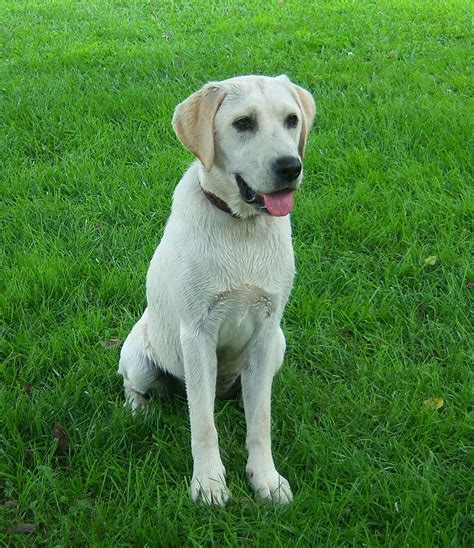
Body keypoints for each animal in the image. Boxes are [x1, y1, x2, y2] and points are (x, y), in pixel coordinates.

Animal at [117, 75, 314, 508]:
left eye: (292, 120)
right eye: (243, 123)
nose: (290, 167)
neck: (242, 228)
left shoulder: (264, 331)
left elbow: (261, 421)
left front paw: (266, 478)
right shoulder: (197, 334)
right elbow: (203, 424)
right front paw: (208, 483)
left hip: (278, 344)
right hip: (138, 355)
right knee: (134, 385)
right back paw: (139, 411)